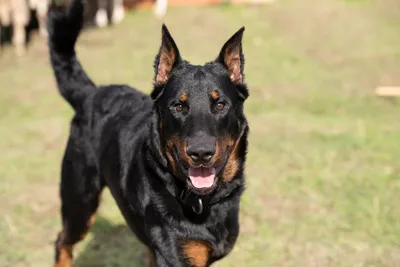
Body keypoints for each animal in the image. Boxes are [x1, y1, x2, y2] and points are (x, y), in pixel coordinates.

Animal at [49, 1, 250, 266]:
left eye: (220, 105)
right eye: (178, 106)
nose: (200, 153)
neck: (202, 201)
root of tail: (89, 94)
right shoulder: (174, 255)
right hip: (81, 202)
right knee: (62, 240)